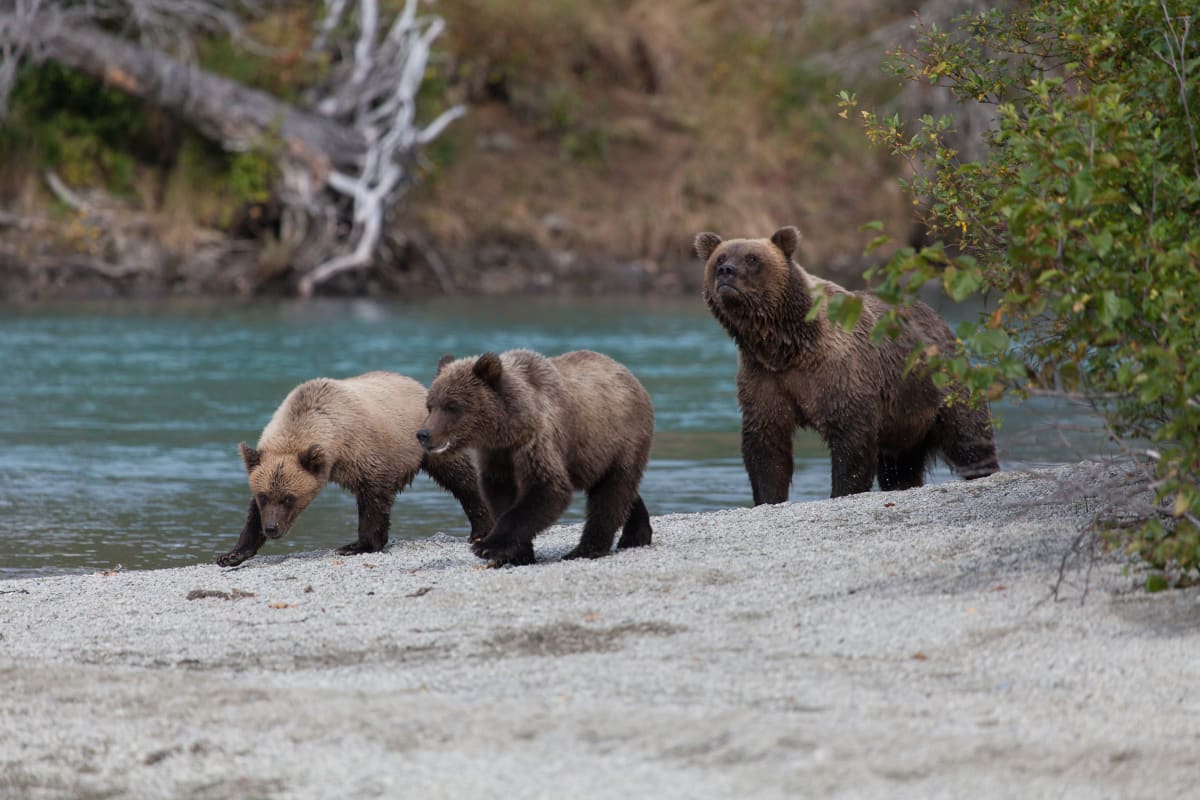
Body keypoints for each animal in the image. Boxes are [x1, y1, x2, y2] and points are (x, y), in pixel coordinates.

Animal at [217, 371, 492, 566]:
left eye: (288, 498)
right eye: (264, 496)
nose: (272, 528)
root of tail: (417, 384)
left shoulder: (362, 451)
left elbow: (373, 497)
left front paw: (357, 545)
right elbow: (251, 514)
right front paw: (232, 554)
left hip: (428, 438)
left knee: (461, 479)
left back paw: (480, 528)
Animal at [415, 347, 657, 566]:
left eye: (452, 406)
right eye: (430, 405)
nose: (423, 434)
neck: (509, 428)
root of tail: (628, 373)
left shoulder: (537, 441)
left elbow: (547, 489)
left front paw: (487, 546)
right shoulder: (498, 456)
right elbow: (499, 494)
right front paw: (518, 554)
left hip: (621, 438)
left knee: (611, 493)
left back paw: (586, 549)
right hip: (595, 455)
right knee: (621, 491)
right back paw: (636, 535)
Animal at [691, 225, 998, 503]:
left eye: (752, 258)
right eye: (720, 257)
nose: (726, 271)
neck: (784, 345)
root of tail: (942, 323)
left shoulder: (839, 371)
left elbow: (851, 438)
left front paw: (842, 490)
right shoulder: (763, 376)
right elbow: (766, 442)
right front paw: (768, 496)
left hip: (941, 388)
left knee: (968, 438)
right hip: (905, 418)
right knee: (899, 467)